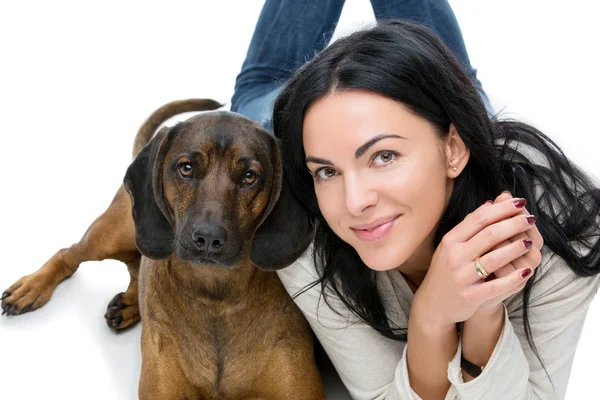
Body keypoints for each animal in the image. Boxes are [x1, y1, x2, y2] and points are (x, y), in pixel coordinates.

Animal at [2, 98, 326, 398]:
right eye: (186, 168)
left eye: (250, 176)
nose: (208, 238)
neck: (216, 295)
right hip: (113, 234)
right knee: (68, 254)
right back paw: (31, 288)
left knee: (135, 267)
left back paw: (129, 304)